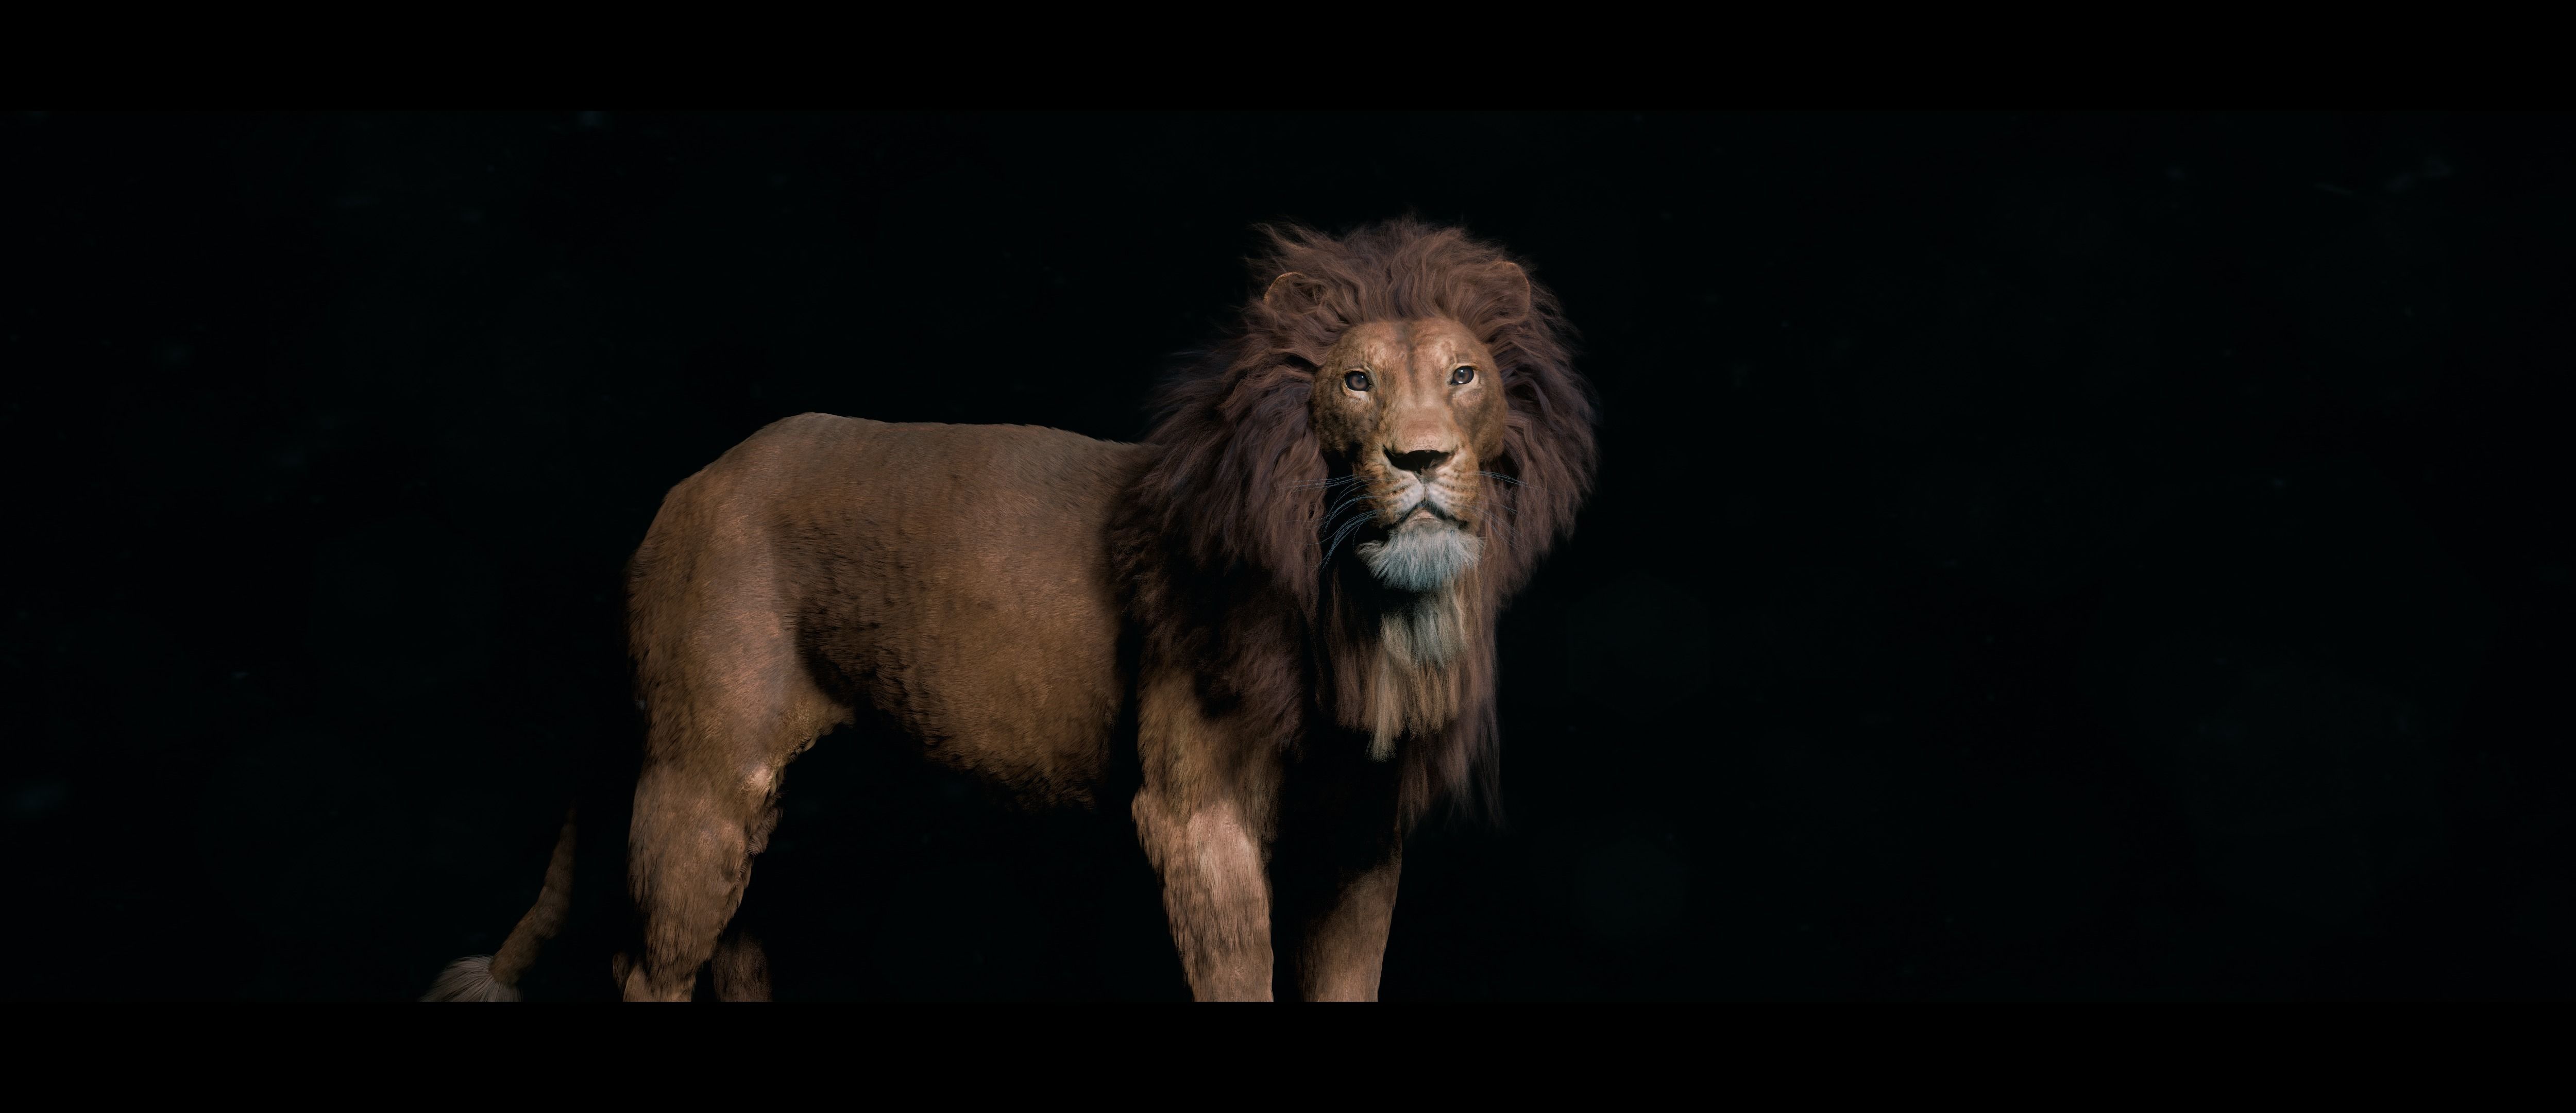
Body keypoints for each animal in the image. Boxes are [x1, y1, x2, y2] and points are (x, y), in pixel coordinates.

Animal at [425, 219, 1597, 1001]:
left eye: (1463, 376)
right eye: (1356, 382)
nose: (1421, 460)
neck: (1357, 603)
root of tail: (684, 492)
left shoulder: (1360, 830)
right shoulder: (1196, 811)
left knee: (735, 942)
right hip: (704, 774)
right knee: (649, 960)